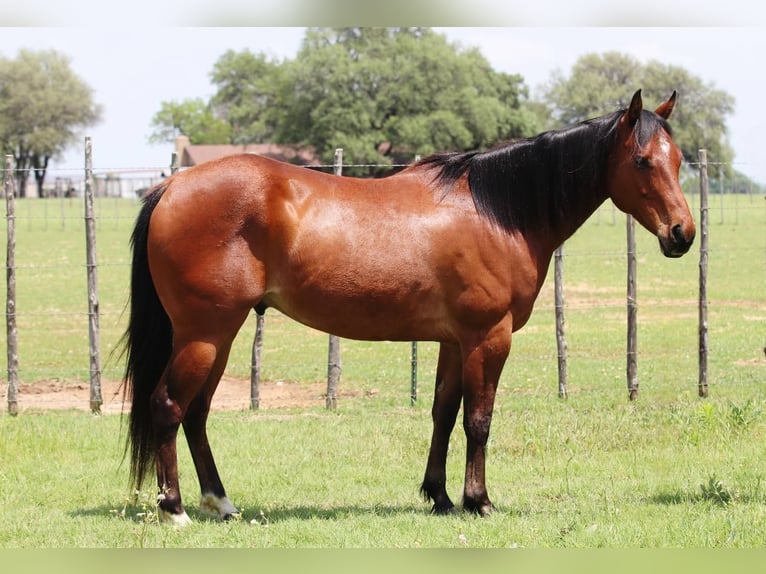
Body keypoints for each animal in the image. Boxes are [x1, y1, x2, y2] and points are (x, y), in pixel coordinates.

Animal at [121, 89, 695, 526]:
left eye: (679, 160)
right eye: (642, 161)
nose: (682, 234)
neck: (498, 211)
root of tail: (173, 184)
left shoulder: (453, 341)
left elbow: (444, 413)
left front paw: (439, 496)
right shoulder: (488, 337)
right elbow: (479, 419)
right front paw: (479, 501)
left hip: (218, 335)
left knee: (196, 413)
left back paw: (222, 503)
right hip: (205, 332)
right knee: (168, 405)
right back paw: (175, 509)